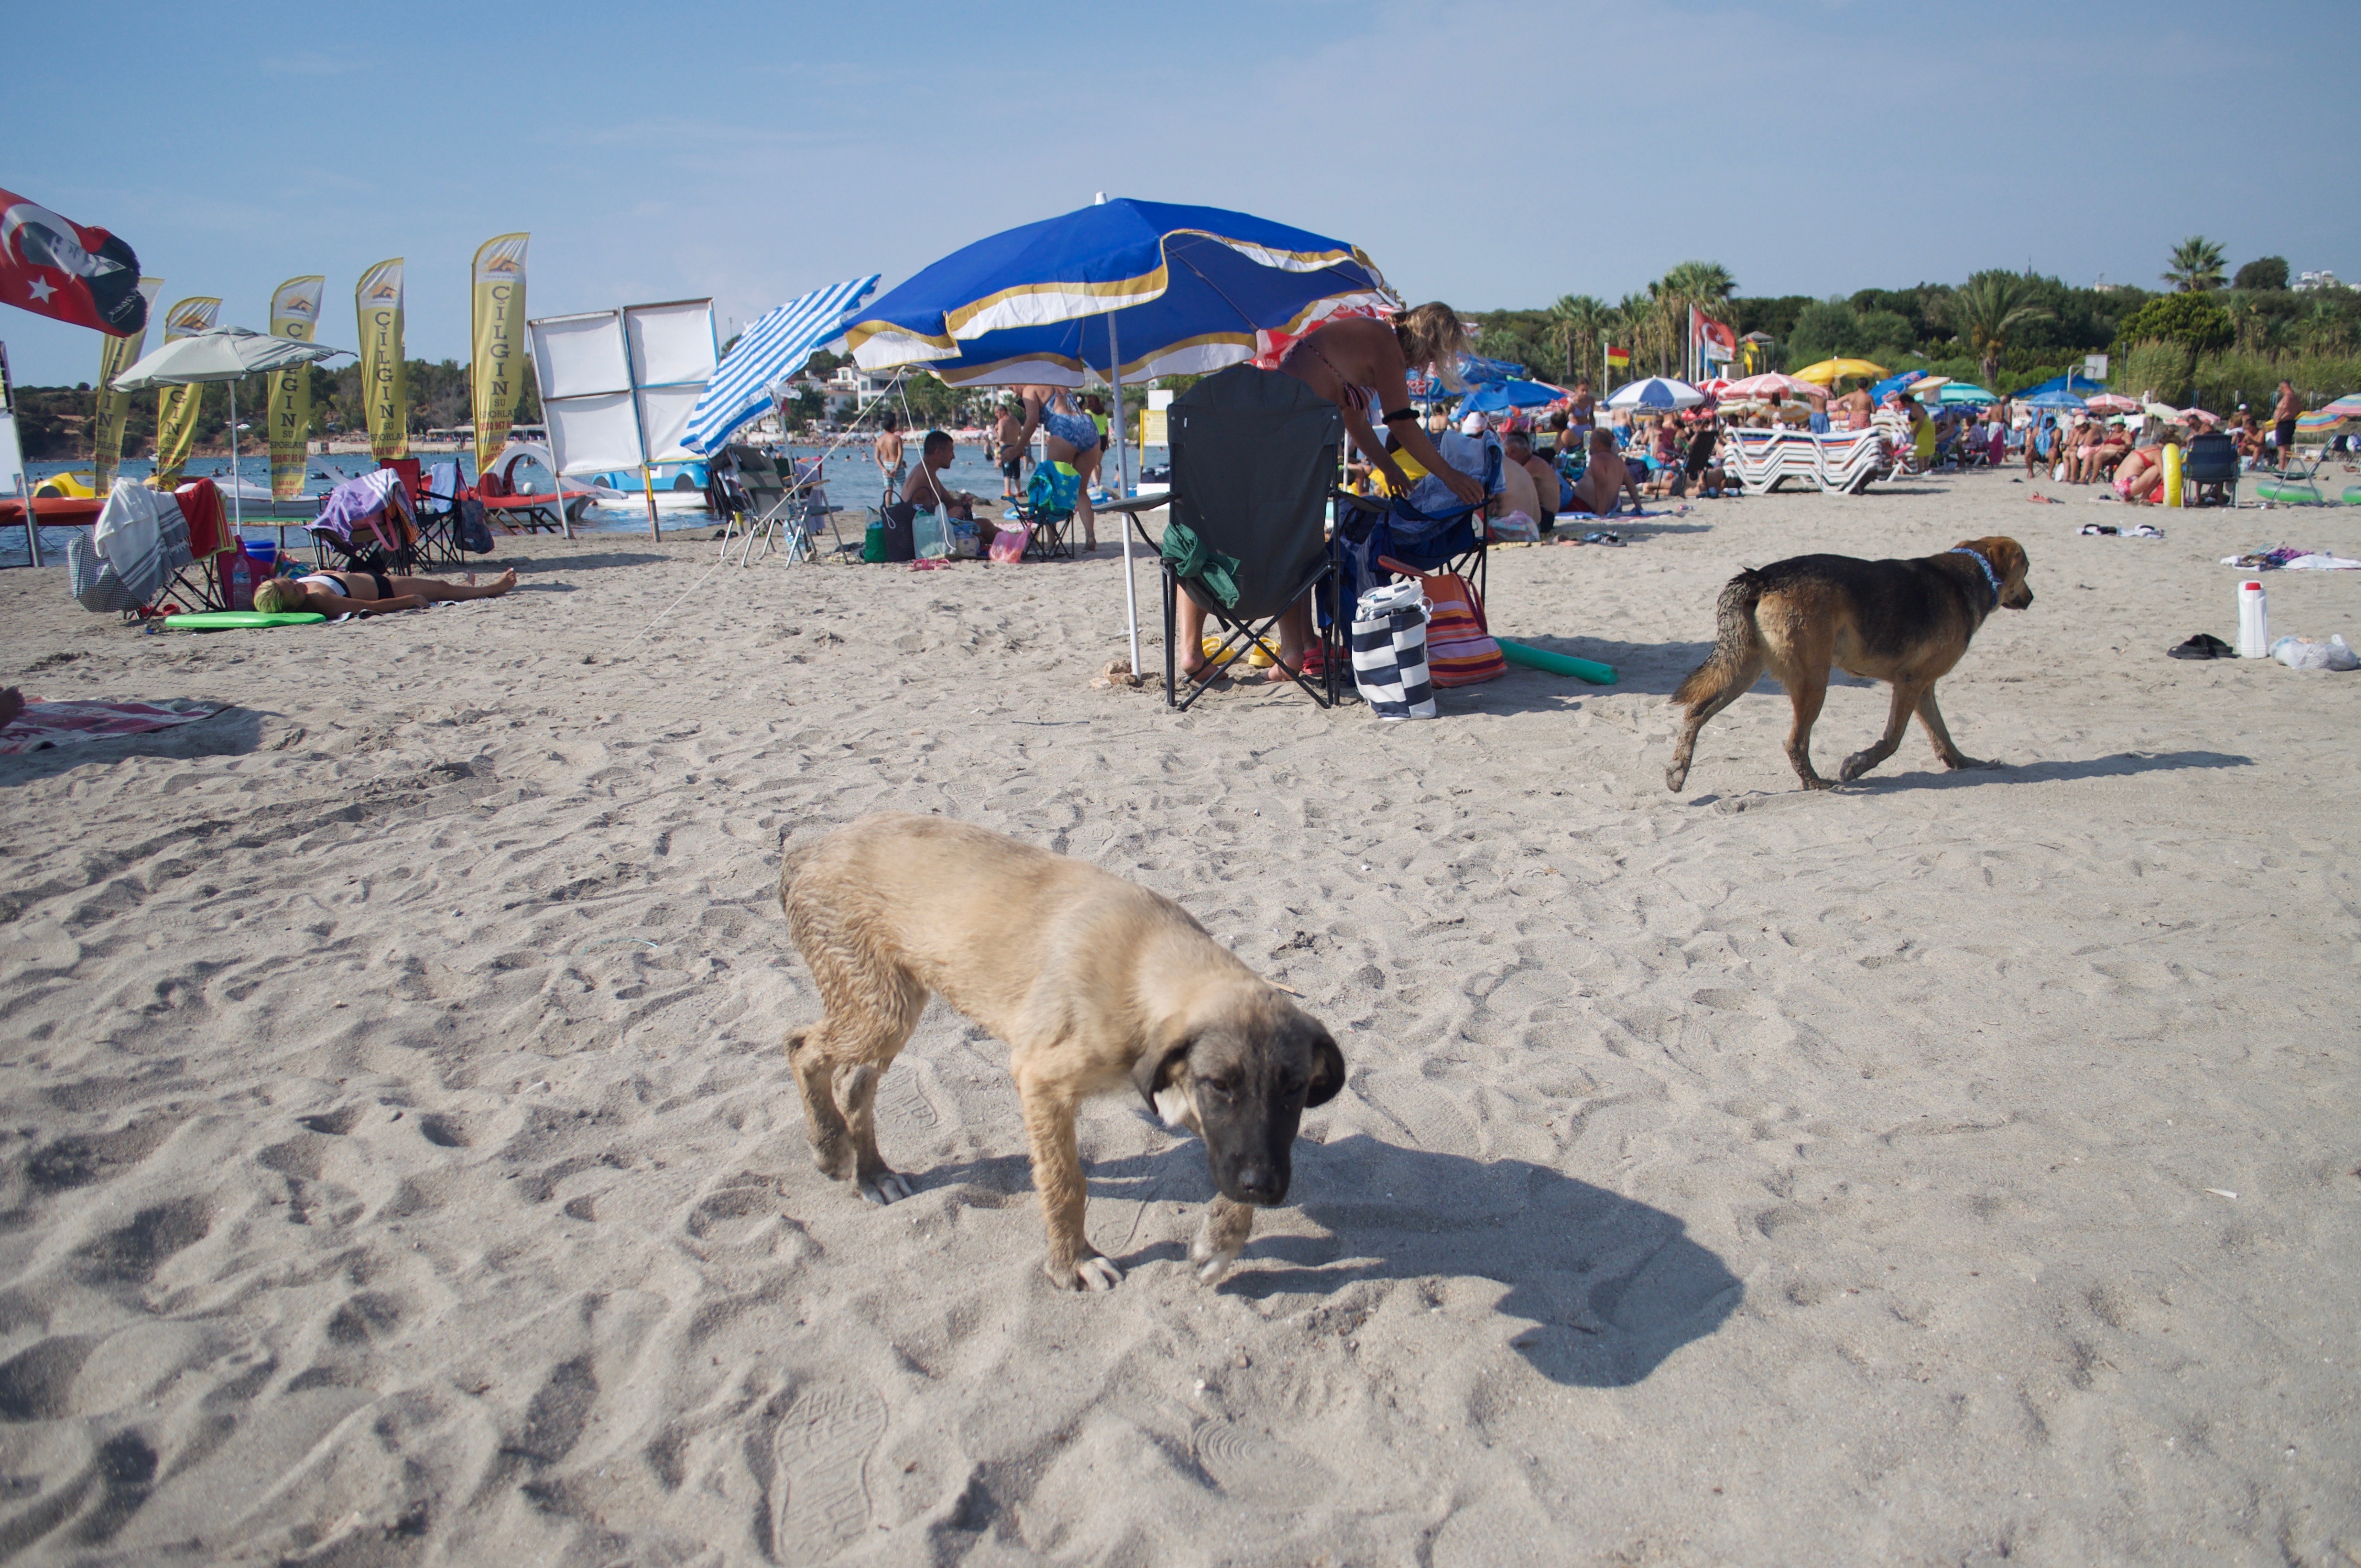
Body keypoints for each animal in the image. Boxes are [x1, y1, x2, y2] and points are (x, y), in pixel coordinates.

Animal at [778, 813, 1344, 1292]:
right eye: (1221, 1084)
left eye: (1294, 1089)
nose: (1264, 1189)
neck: (1145, 962)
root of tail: (810, 847)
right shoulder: (1042, 1079)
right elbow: (1065, 1181)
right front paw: (1073, 1261)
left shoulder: (1180, 1091)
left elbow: (1237, 1154)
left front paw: (1221, 1239)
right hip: (880, 1007)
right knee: (803, 1047)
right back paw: (831, 1146)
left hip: (889, 1005)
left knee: (855, 1080)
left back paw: (872, 1173)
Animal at [1664, 536, 2034, 792]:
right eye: (2027, 569)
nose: (2032, 598)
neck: (1972, 574)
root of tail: (1762, 577)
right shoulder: (1910, 682)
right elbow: (1892, 739)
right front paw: (1859, 764)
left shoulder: (1923, 687)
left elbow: (1942, 735)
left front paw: (1964, 763)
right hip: (1814, 681)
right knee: (1795, 743)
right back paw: (1815, 784)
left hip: (1743, 672)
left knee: (1696, 712)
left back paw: (1678, 769)